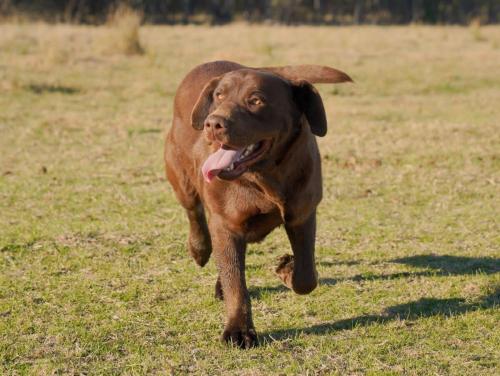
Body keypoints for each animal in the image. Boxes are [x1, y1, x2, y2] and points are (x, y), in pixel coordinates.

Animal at [164, 60, 352, 348]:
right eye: (219, 96)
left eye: (256, 100)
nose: (213, 123)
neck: (264, 176)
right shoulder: (226, 224)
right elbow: (236, 282)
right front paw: (238, 330)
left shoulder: (303, 214)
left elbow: (307, 275)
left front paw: (287, 269)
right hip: (179, 175)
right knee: (193, 211)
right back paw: (199, 249)